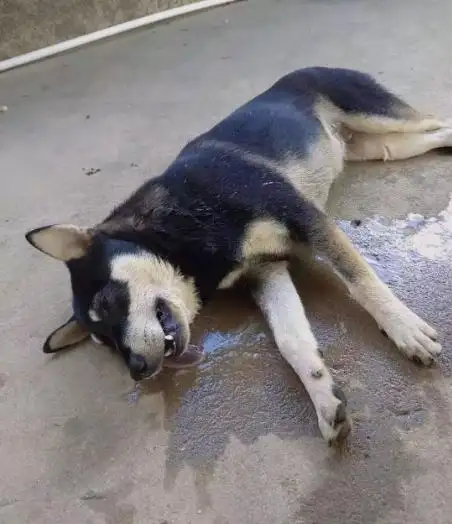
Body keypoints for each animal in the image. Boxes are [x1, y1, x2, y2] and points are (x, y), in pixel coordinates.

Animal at [25, 65, 448, 442]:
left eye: (107, 302)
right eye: (105, 343)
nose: (138, 370)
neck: (180, 223)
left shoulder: (308, 221)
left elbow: (361, 281)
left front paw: (404, 328)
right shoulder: (265, 272)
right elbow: (291, 339)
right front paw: (323, 396)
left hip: (380, 117)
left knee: (438, 121)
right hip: (385, 147)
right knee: (439, 134)